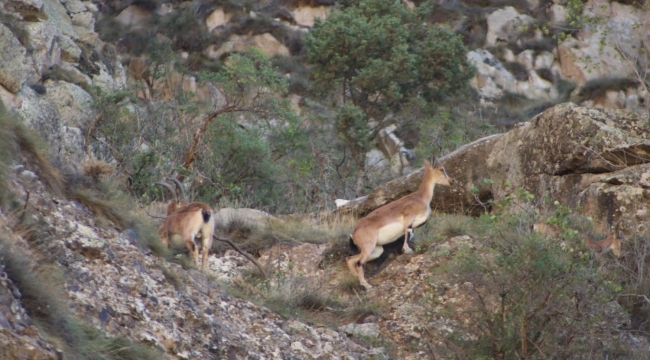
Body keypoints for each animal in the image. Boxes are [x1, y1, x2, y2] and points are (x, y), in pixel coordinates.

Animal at [346, 159, 454, 288]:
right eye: (441, 169)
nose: (451, 181)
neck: (420, 197)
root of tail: (354, 233)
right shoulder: (408, 217)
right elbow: (407, 233)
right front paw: (407, 250)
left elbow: (409, 234)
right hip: (368, 247)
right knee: (359, 263)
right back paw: (368, 286)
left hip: (376, 250)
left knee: (350, 259)